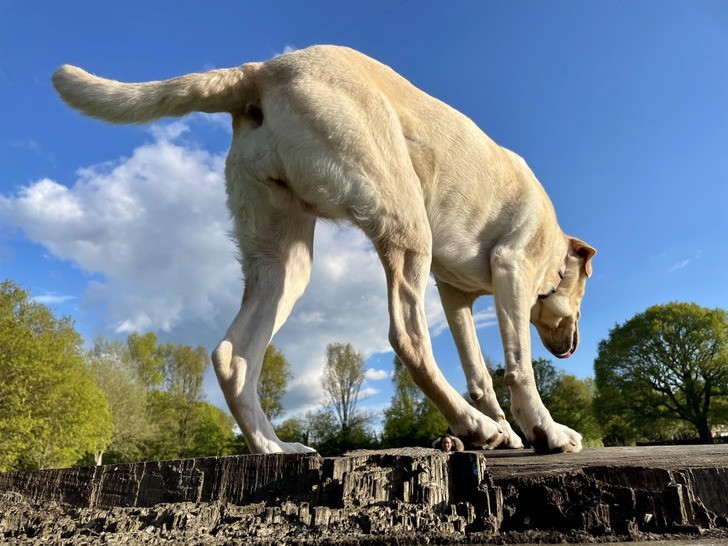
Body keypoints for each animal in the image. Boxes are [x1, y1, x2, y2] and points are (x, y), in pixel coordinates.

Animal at [54, 45, 596, 454]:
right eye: (584, 296)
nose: (572, 346)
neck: (552, 249)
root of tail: (265, 69)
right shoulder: (510, 272)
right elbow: (518, 367)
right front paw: (544, 431)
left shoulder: (455, 296)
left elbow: (480, 373)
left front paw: (510, 430)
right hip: (405, 222)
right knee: (407, 338)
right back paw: (472, 426)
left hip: (283, 262)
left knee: (233, 356)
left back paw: (274, 448)